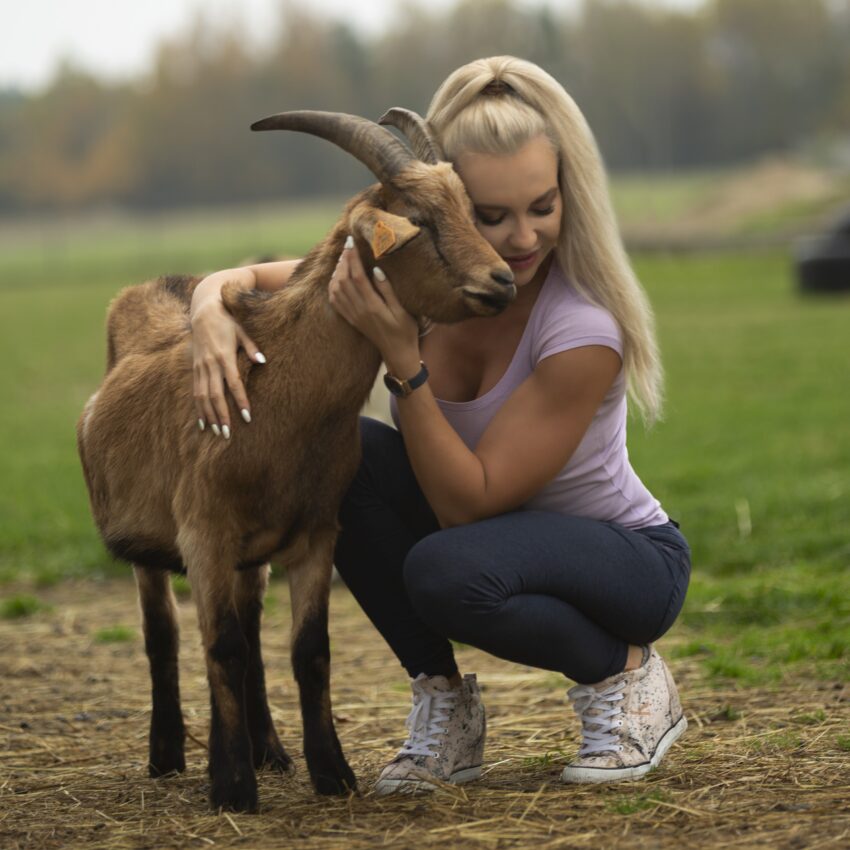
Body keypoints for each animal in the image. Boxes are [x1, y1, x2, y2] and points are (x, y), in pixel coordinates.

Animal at [76, 109, 516, 812]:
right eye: (418, 219)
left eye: (471, 209)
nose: (502, 282)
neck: (272, 393)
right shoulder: (204, 532)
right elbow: (220, 647)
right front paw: (231, 787)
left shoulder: (315, 533)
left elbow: (308, 650)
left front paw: (331, 773)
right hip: (153, 548)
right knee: (165, 635)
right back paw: (168, 755)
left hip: (254, 554)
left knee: (252, 629)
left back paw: (269, 751)